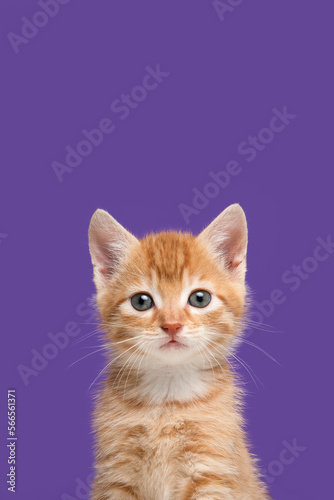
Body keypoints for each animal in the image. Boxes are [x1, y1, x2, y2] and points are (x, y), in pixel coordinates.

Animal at [87, 204, 270, 500]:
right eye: (141, 301)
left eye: (200, 298)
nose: (172, 325)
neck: (167, 400)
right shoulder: (116, 474)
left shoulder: (211, 471)